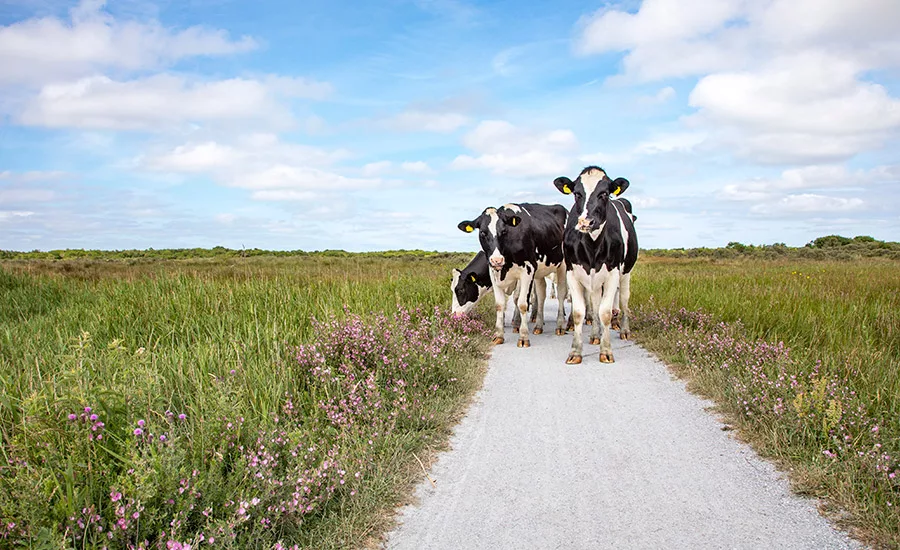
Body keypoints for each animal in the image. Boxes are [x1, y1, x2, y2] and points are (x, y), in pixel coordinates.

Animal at [458, 203, 568, 347]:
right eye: (482, 232)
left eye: (504, 231)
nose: (497, 260)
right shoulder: (493, 273)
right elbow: (499, 304)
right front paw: (499, 335)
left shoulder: (528, 271)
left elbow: (522, 303)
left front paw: (523, 336)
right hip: (540, 271)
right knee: (541, 294)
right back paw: (538, 326)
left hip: (563, 265)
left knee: (561, 292)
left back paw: (560, 326)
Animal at [553, 166, 638, 364]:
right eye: (577, 194)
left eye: (604, 193)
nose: (586, 222)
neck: (592, 245)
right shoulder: (572, 272)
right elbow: (579, 313)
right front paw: (575, 352)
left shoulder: (613, 272)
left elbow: (605, 312)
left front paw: (606, 351)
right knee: (595, 302)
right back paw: (595, 334)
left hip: (625, 272)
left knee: (623, 300)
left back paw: (624, 330)